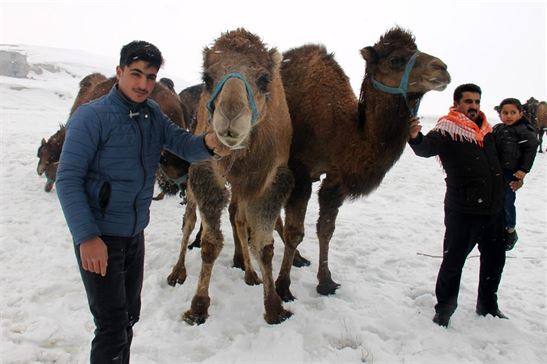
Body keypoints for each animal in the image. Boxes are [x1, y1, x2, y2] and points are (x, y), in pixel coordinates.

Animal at [181, 28, 296, 324]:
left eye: (265, 78)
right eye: (207, 78)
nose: (230, 114)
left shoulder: (270, 177)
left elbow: (265, 245)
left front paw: (274, 307)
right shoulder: (206, 167)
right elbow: (210, 243)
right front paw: (198, 306)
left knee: (239, 218)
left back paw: (250, 272)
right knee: (189, 219)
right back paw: (177, 272)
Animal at [274, 27, 454, 302]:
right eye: (395, 59)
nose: (442, 68)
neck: (339, 127)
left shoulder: (336, 178)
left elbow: (326, 229)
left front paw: (325, 282)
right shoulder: (300, 171)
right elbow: (296, 232)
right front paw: (283, 288)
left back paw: (295, 259)